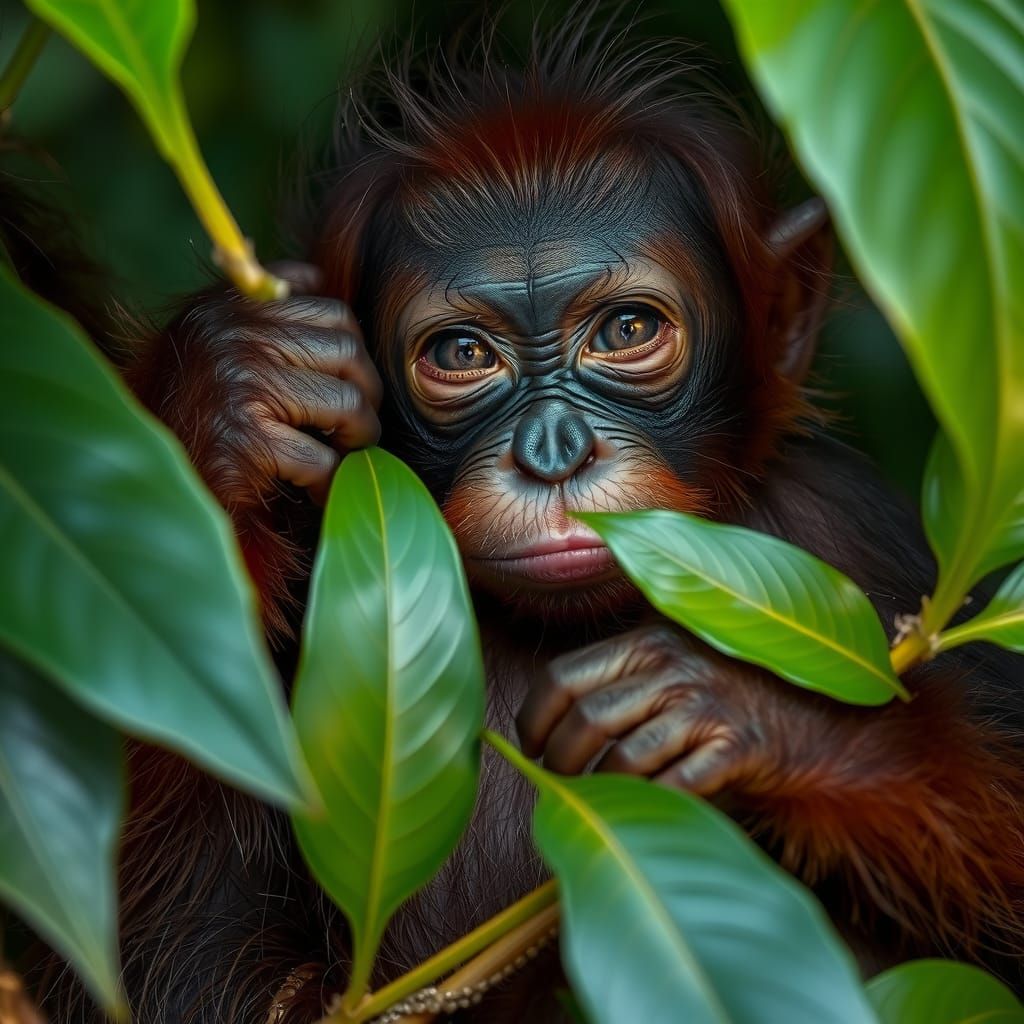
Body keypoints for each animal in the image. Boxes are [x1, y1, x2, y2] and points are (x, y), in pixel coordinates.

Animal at [43, 18, 1024, 1024]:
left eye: (627, 332)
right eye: (462, 353)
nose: (553, 451)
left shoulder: (855, 525)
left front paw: (770, 716)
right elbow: (169, 967)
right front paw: (233, 390)